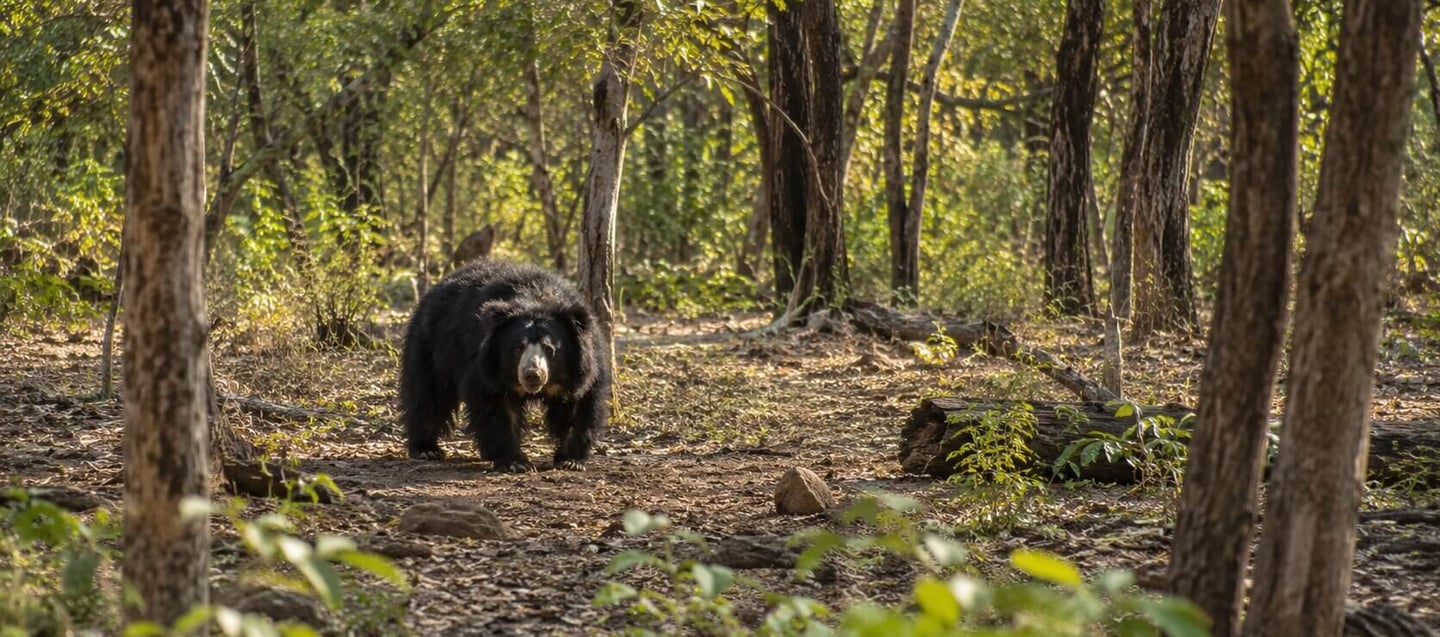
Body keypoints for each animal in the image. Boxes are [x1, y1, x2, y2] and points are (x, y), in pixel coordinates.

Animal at [398, 259, 610, 472]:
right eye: (517, 348)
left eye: (550, 349)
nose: (532, 375)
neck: (535, 298)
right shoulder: (485, 364)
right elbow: (495, 406)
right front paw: (516, 462)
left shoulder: (584, 366)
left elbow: (580, 404)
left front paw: (570, 460)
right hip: (431, 346)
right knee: (428, 395)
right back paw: (426, 449)